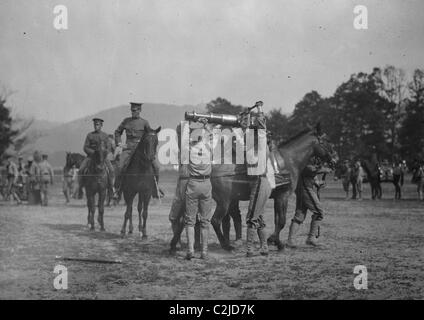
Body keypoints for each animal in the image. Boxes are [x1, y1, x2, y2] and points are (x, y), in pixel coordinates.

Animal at [169, 124, 338, 251]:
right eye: (327, 140)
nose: (335, 160)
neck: (288, 160)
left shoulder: (276, 197)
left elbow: (277, 220)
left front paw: (274, 241)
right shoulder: (283, 195)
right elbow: (282, 221)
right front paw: (276, 241)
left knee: (189, 220)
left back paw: (178, 245)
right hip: (224, 201)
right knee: (215, 221)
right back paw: (226, 245)